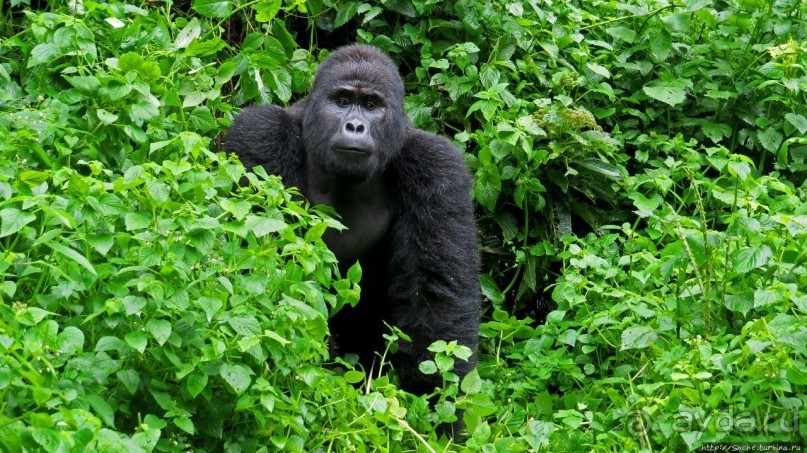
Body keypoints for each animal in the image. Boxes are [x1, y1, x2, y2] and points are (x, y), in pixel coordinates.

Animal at [224, 45, 480, 396]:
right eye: (342, 101)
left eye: (371, 106)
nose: (355, 126)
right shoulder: (260, 133)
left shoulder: (435, 165)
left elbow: (435, 294)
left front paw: (433, 401)